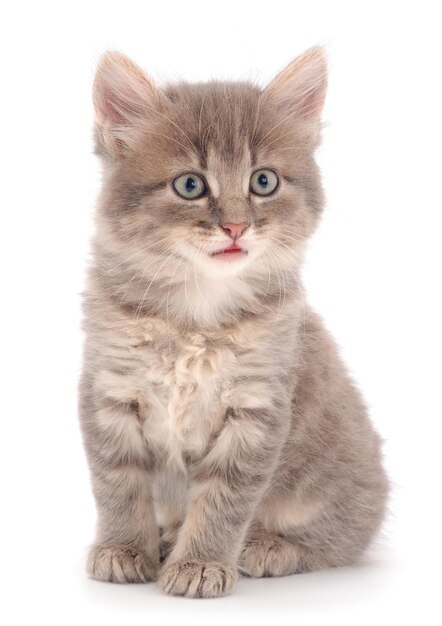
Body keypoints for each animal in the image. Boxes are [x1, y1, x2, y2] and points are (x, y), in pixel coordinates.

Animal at [80, 47, 390, 596]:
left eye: (263, 181)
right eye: (190, 185)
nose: (236, 227)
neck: (196, 315)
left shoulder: (259, 408)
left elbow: (224, 500)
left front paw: (201, 563)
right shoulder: (108, 390)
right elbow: (118, 485)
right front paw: (124, 549)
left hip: (341, 492)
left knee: (338, 540)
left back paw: (266, 547)